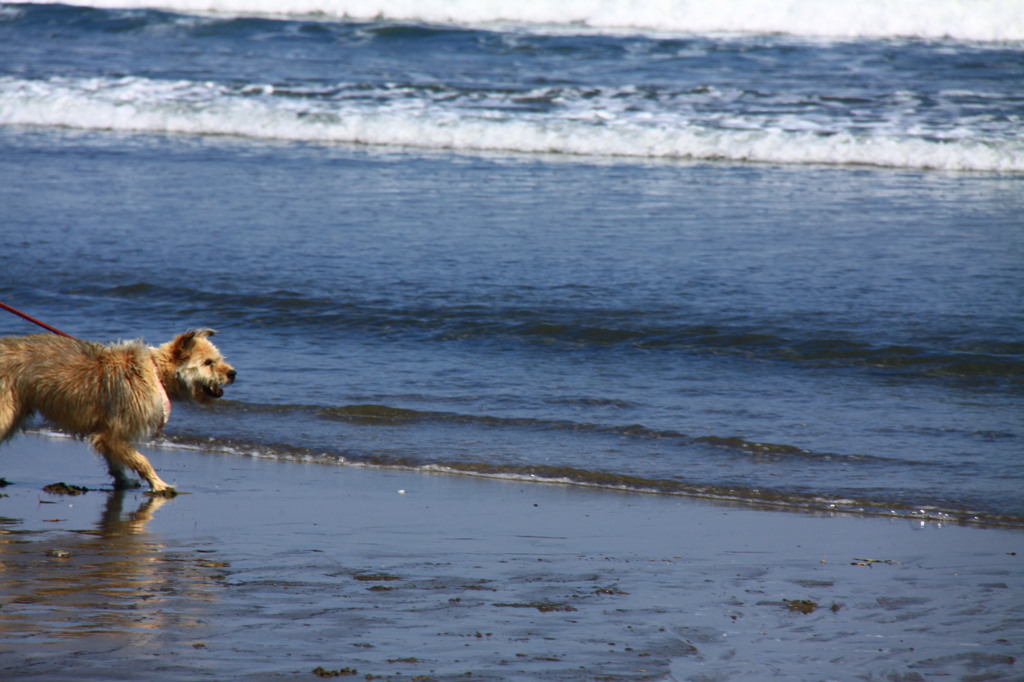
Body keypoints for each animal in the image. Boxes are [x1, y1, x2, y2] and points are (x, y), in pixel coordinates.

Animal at [0, 327, 234, 491]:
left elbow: (117, 461)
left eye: (219, 359)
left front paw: (124, 481)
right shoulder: (113, 434)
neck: (155, 373)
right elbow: (141, 460)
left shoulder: (109, 435)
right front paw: (158, 484)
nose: (233, 373)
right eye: (208, 362)